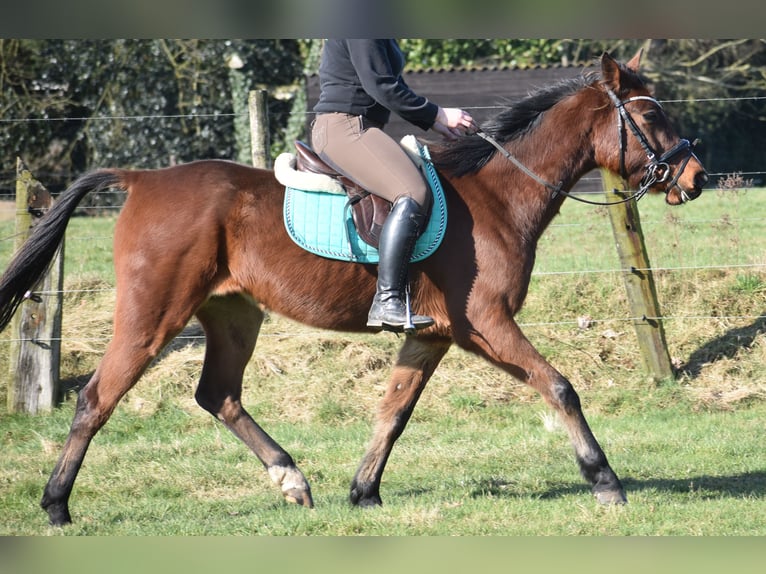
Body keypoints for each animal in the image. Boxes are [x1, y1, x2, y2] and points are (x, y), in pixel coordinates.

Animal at [0, 51, 708, 528]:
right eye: (651, 114)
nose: (696, 177)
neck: (501, 194)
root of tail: (142, 178)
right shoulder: (487, 323)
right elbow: (559, 386)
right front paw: (605, 481)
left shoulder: (435, 336)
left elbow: (393, 411)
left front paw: (364, 492)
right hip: (154, 316)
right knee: (97, 397)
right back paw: (56, 505)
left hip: (234, 315)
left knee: (217, 395)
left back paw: (292, 480)